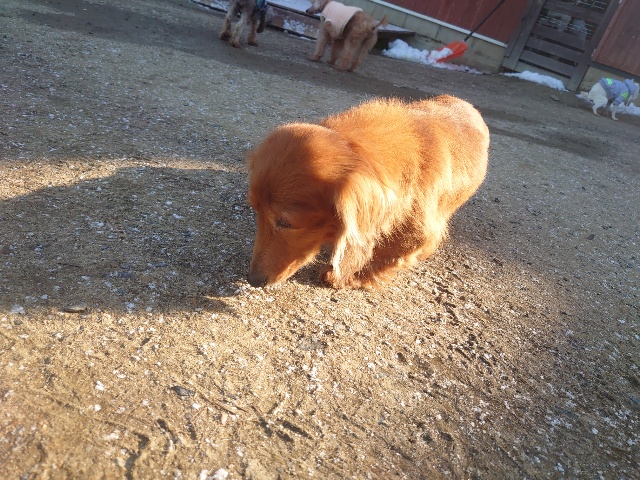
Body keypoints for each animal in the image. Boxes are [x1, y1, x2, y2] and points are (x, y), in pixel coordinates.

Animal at [246, 96, 489, 289]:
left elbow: (386, 253)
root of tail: (468, 105)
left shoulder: (420, 234)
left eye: (286, 223)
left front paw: (343, 277)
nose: (252, 280)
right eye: (256, 211)